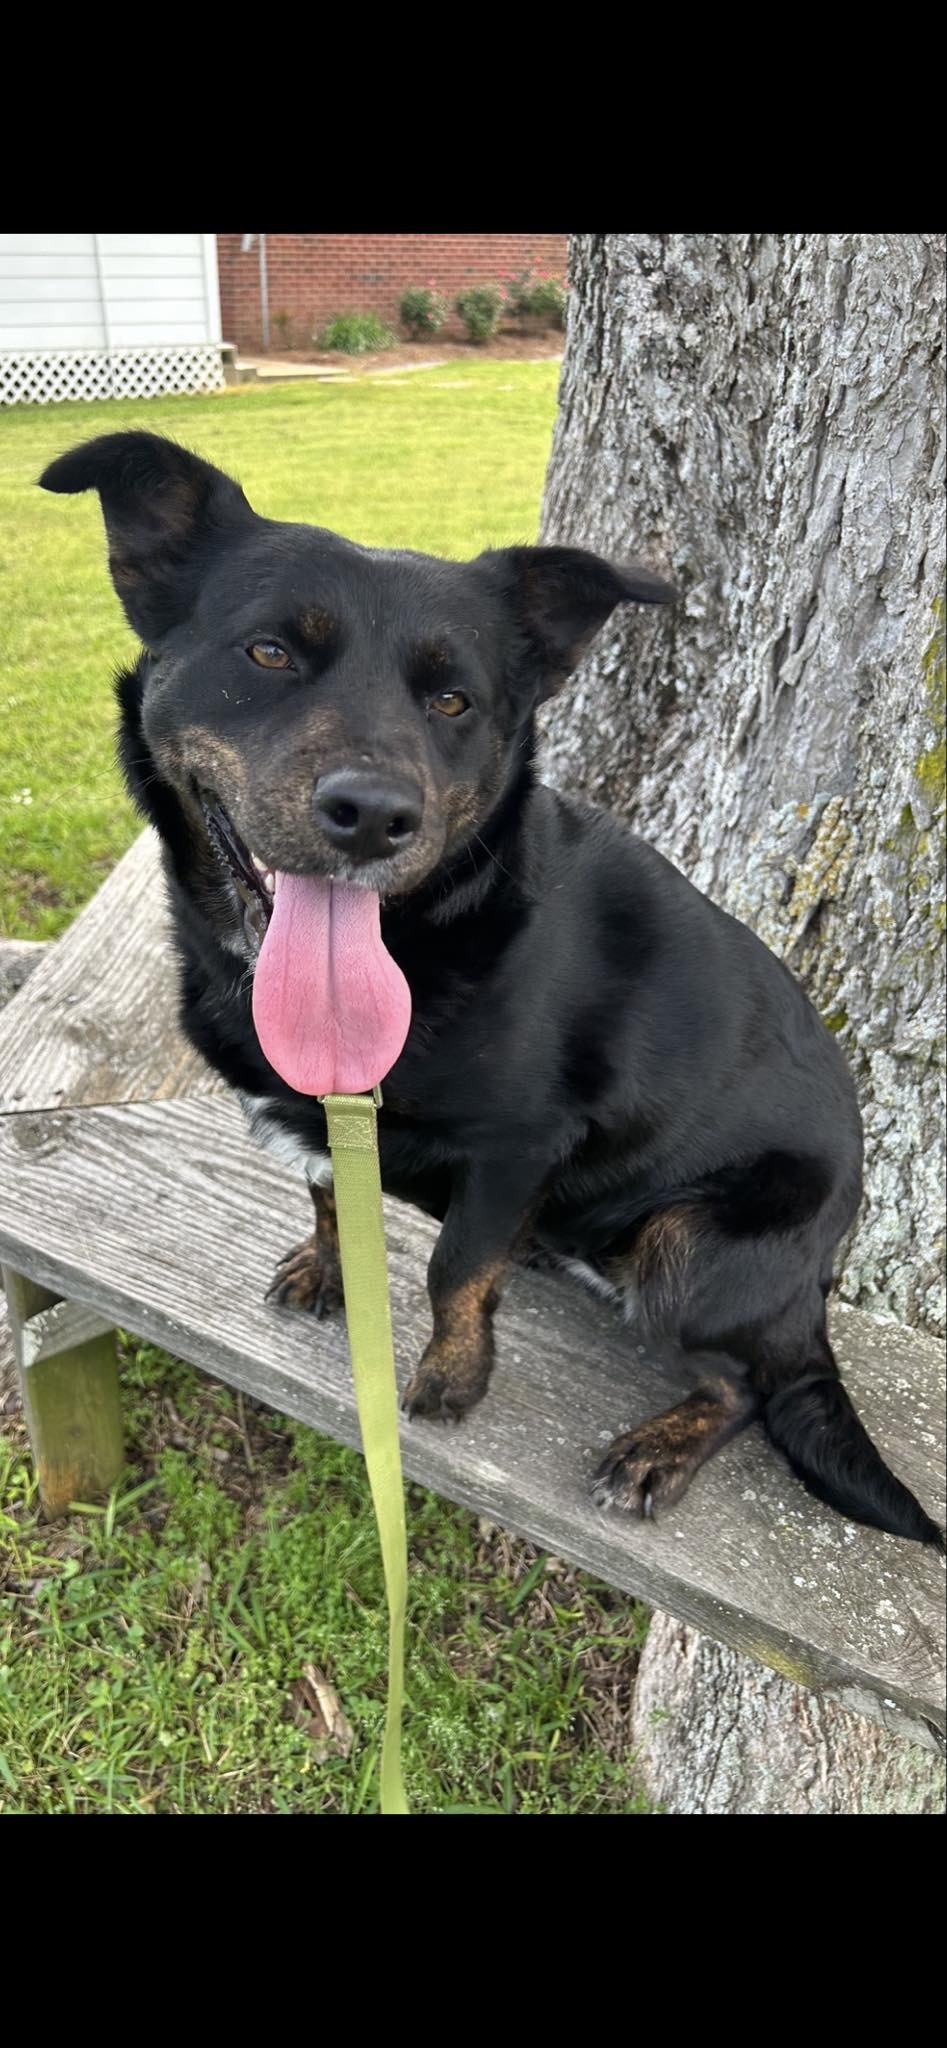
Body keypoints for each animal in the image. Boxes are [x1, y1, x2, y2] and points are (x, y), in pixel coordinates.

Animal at [42, 440, 938, 1540]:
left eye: (451, 701)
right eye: (268, 654)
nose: (372, 815)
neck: (419, 938)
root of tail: (815, 1287)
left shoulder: (519, 1143)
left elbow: (455, 1268)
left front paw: (449, 1381)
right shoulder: (335, 1117)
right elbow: (330, 1196)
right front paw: (330, 1268)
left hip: (688, 1247)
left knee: (744, 1389)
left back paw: (657, 1449)